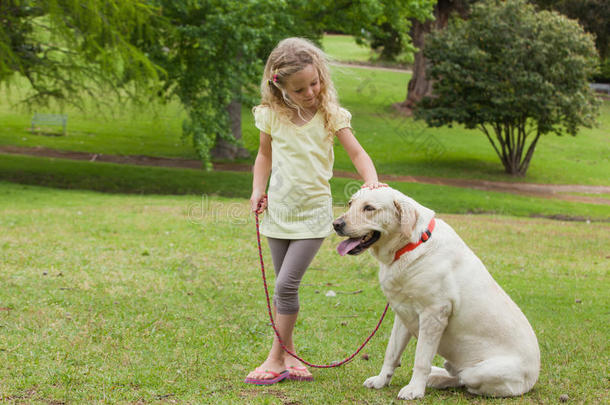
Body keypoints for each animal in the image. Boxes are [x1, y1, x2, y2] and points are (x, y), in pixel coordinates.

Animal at [332, 186, 536, 398]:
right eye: (350, 204)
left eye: (369, 208)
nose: (336, 224)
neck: (410, 246)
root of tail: (534, 377)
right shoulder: (402, 313)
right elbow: (391, 353)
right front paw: (381, 381)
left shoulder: (434, 315)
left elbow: (421, 359)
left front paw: (414, 389)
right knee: (456, 374)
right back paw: (437, 376)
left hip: (481, 372)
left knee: (464, 380)